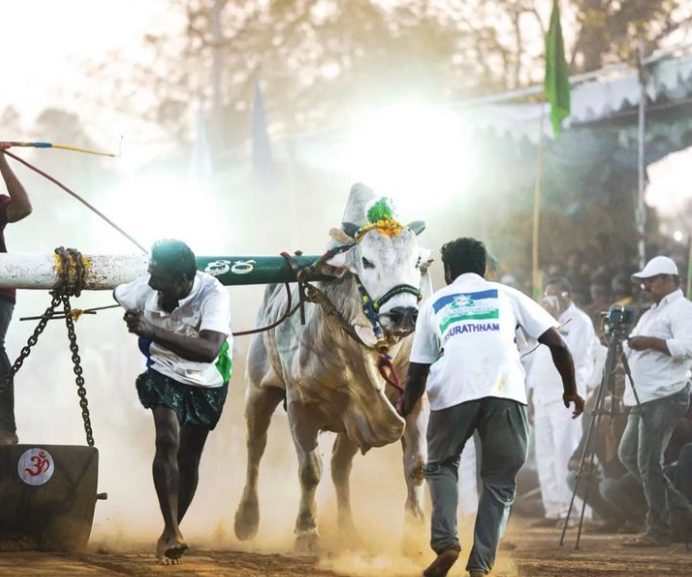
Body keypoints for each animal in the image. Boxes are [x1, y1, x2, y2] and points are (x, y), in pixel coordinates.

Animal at [237, 184, 432, 548]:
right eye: (366, 261)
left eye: (416, 262)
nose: (403, 314)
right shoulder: (300, 405)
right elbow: (309, 470)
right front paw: (306, 531)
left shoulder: (412, 404)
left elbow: (416, 466)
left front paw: (415, 534)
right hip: (258, 389)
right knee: (255, 448)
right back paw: (247, 518)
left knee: (341, 466)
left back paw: (348, 529)